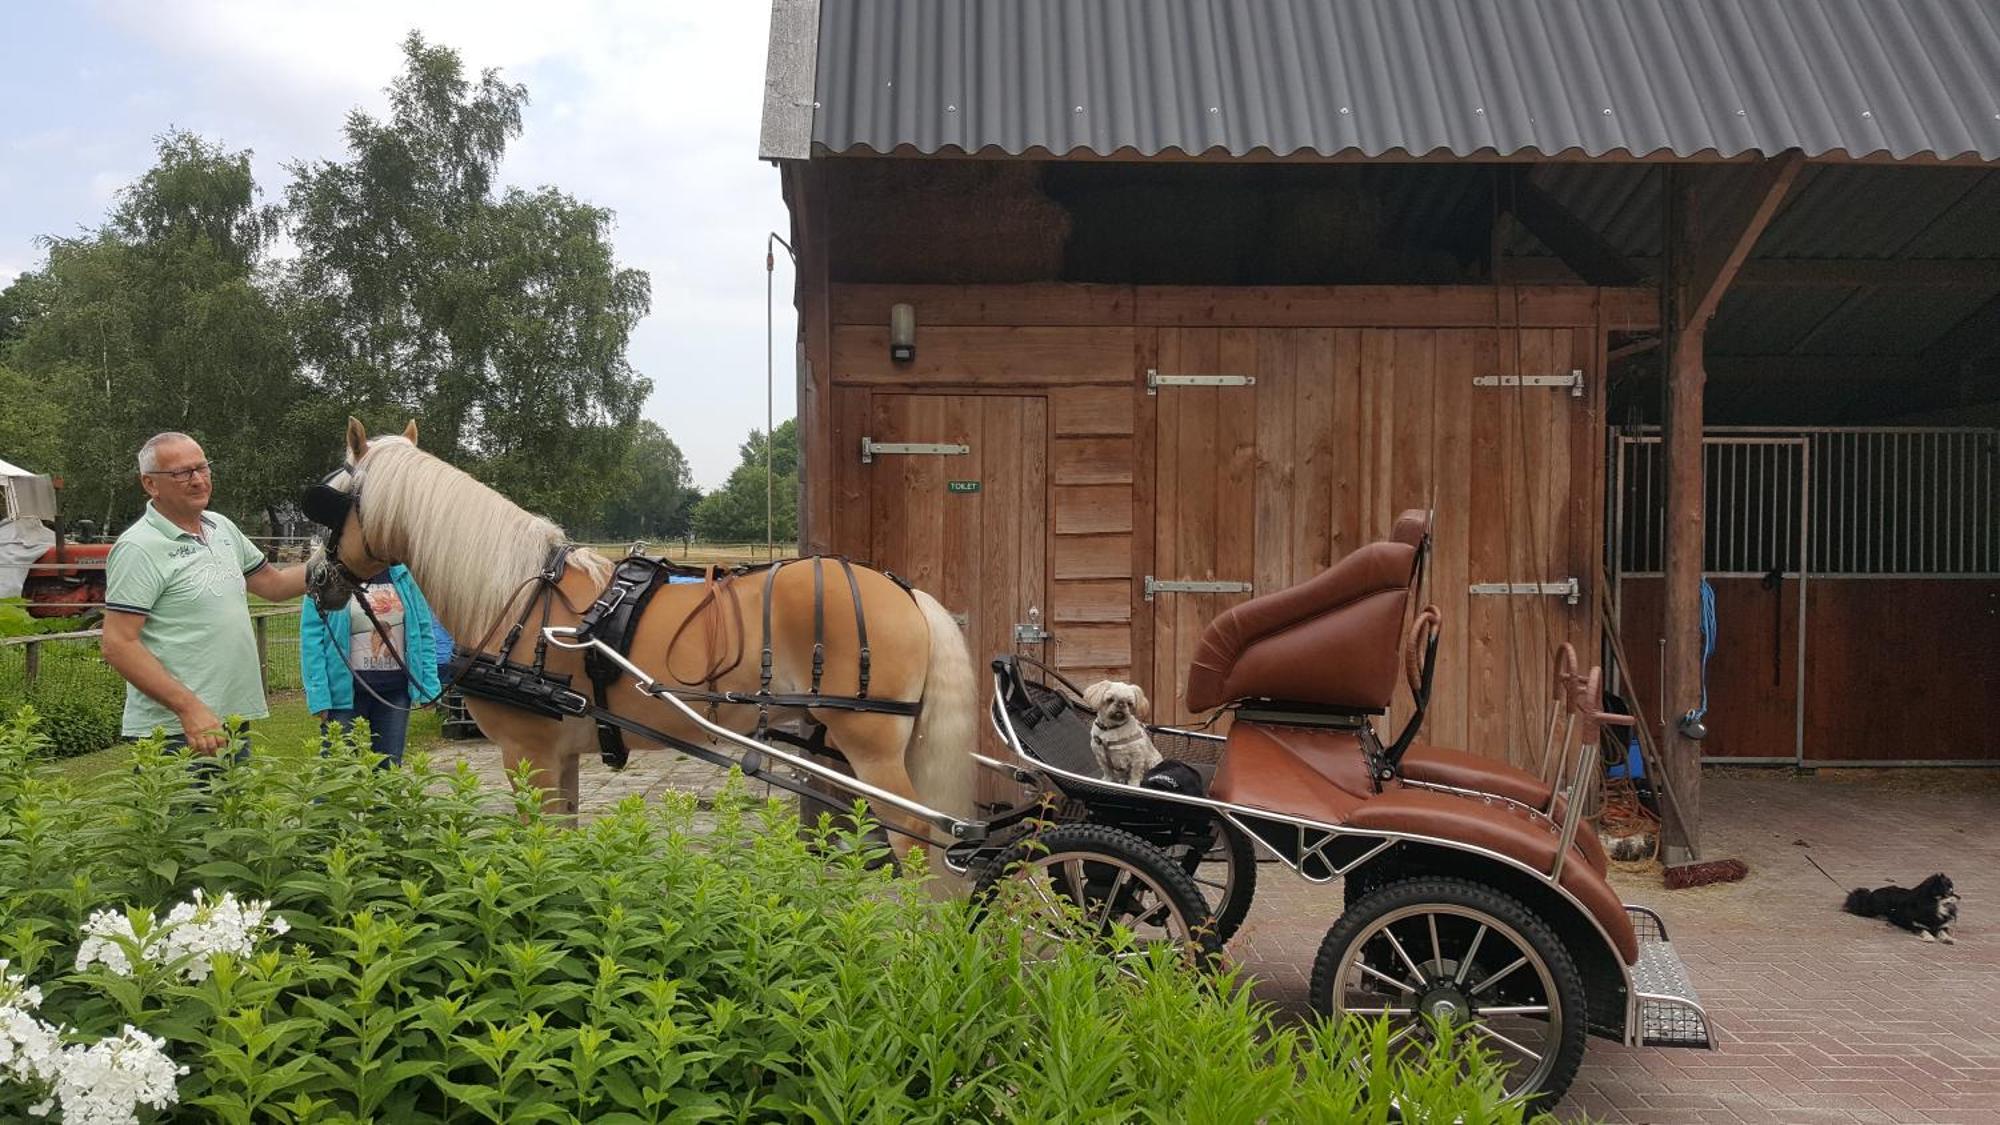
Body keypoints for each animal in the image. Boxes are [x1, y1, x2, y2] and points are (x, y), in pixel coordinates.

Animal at [302, 416, 976, 860]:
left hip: (872, 751)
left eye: (328, 502)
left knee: (919, 843)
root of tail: (903, 592)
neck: (515, 599)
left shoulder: (527, 753)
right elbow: (562, 849)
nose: (315, 578)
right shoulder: (562, 756)